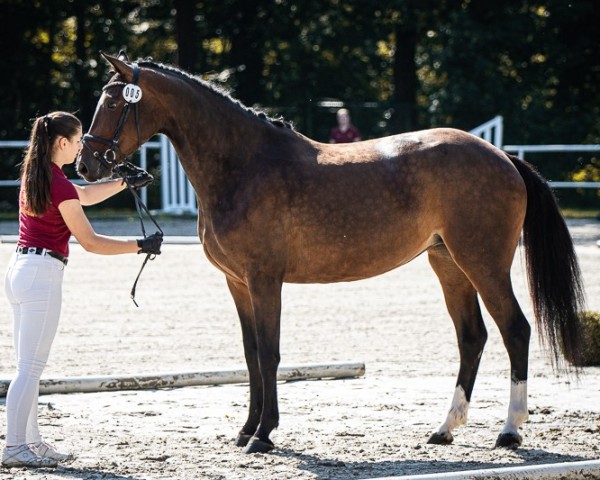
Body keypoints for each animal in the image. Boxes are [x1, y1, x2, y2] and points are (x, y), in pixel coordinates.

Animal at [77, 53, 584, 454]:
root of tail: (502, 157)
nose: (85, 165)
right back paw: (444, 429)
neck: (243, 165)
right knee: (472, 338)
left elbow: (270, 353)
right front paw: (245, 430)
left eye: (116, 103)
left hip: (483, 263)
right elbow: (250, 354)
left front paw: (264, 435)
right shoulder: (237, 282)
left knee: (515, 330)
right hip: (448, 264)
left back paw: (509, 431)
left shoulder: (264, 279)